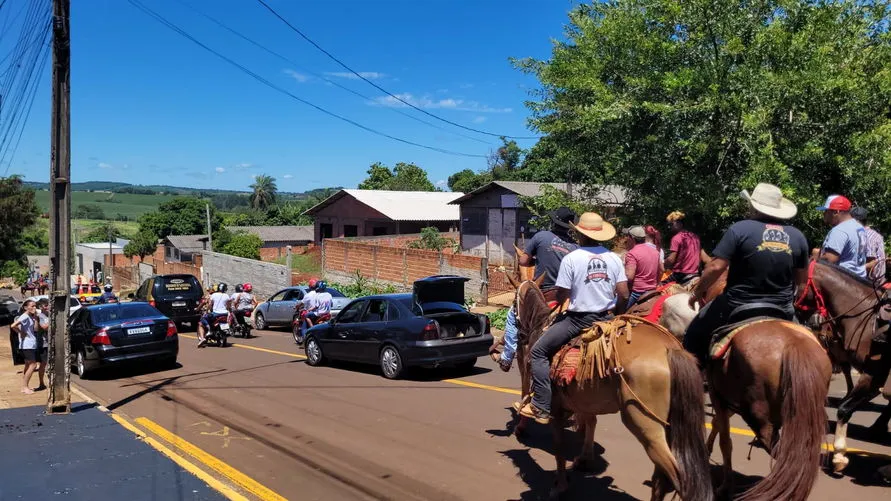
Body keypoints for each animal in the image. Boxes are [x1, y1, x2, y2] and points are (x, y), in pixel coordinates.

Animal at [512, 278, 716, 500]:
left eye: (513, 305)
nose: (520, 336)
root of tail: (671, 348)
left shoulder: (556, 409)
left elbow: (559, 449)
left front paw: (560, 486)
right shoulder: (583, 400)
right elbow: (589, 423)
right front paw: (583, 460)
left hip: (645, 425)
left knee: (677, 479)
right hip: (670, 426)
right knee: (661, 480)